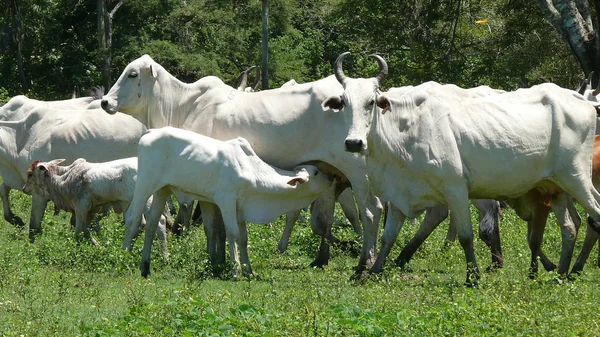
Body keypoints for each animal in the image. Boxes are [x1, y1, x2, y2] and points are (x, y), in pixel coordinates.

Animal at [0, 106, 145, 240]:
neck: (19, 140)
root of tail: (143, 127)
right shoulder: (18, 181)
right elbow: (3, 190)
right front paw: (14, 219)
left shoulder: (39, 192)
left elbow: (34, 227)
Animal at [125, 127, 336, 276]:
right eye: (316, 173)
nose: (331, 177)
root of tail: (151, 132)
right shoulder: (226, 201)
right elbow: (232, 234)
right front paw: (236, 270)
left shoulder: (241, 208)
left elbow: (243, 238)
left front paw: (249, 269)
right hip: (145, 184)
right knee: (132, 218)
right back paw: (124, 256)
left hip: (163, 189)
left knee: (153, 225)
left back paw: (145, 266)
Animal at [326, 51, 600, 284]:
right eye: (343, 103)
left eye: (371, 102)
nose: (353, 142)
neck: (405, 132)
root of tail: (581, 100)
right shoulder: (400, 193)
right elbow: (388, 236)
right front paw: (373, 270)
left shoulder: (456, 190)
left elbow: (466, 236)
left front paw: (473, 277)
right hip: (556, 187)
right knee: (571, 227)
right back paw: (564, 272)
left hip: (577, 178)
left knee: (594, 216)